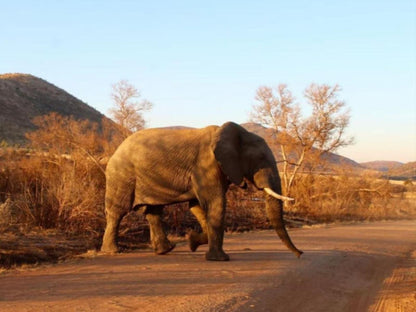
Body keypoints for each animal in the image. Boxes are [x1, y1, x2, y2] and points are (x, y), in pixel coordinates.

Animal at [101, 122, 302, 260]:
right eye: (260, 158)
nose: (300, 254)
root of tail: (114, 152)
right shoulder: (206, 165)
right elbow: (215, 203)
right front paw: (220, 259)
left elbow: (197, 205)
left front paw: (193, 242)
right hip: (122, 175)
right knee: (118, 211)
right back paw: (112, 251)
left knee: (154, 211)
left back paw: (166, 250)